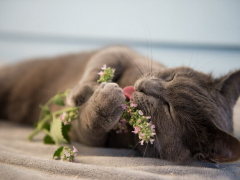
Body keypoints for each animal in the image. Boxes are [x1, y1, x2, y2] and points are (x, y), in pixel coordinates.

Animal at [0, 46, 240, 163]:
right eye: (171, 77)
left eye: (169, 109)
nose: (146, 87)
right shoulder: (123, 52)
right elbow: (105, 58)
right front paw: (79, 93)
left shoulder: (91, 138)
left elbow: (90, 127)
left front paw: (105, 100)